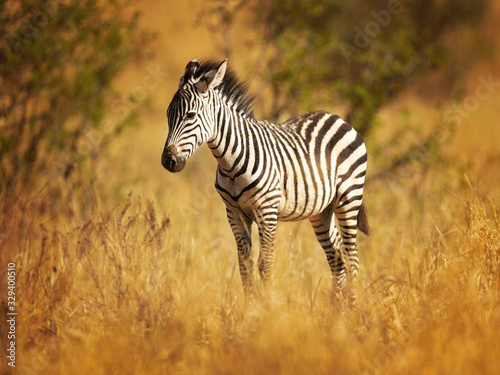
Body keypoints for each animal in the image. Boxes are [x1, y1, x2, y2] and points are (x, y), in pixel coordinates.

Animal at [162, 58, 370, 306]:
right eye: (168, 114)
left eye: (190, 116)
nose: (168, 161)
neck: (230, 163)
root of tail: (336, 117)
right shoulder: (234, 212)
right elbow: (245, 265)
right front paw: (250, 308)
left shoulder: (267, 210)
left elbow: (265, 264)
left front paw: (267, 308)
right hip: (322, 209)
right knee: (336, 256)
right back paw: (336, 309)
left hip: (349, 196)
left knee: (352, 257)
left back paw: (352, 307)